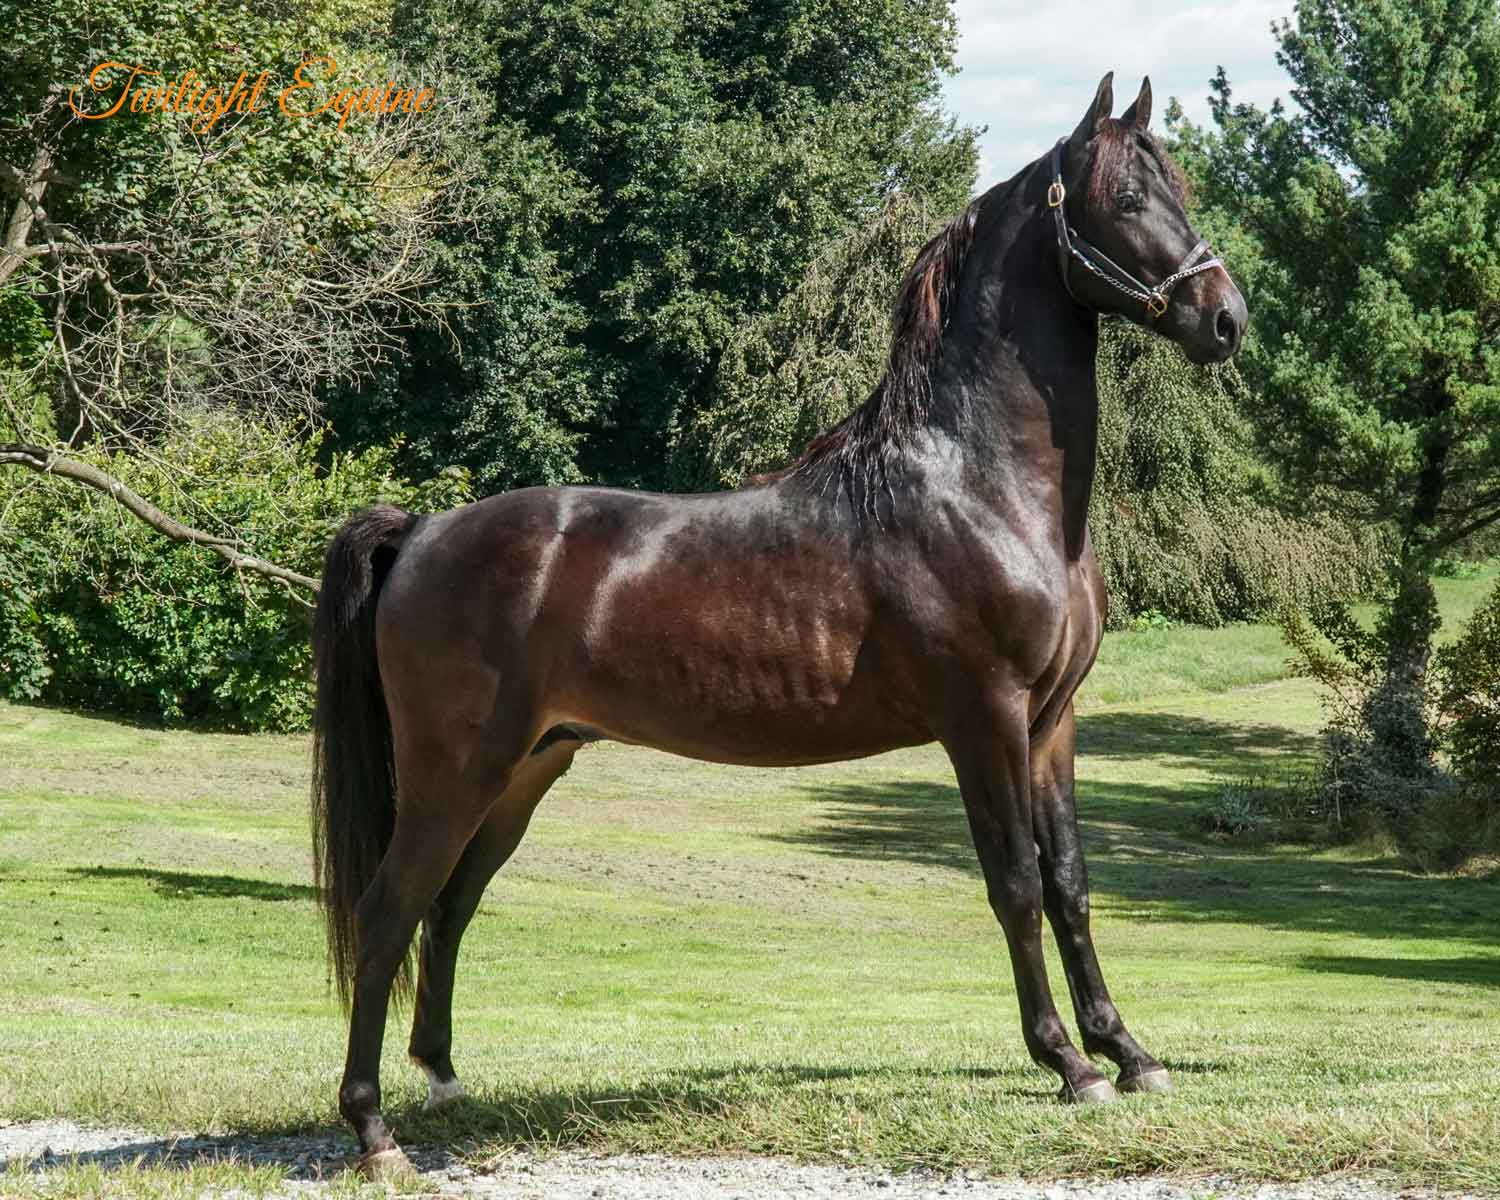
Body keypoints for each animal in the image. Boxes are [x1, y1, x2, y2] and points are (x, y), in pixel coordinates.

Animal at [310, 73, 1246, 1176]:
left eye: (1180, 187)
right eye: (1126, 198)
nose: (1225, 318)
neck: (977, 484)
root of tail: (421, 530)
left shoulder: (1052, 721)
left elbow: (1070, 883)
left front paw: (1128, 1051)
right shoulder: (984, 720)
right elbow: (1014, 883)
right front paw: (1067, 1063)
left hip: (526, 769)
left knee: (449, 905)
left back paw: (445, 1081)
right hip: (455, 772)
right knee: (386, 911)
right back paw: (375, 1131)